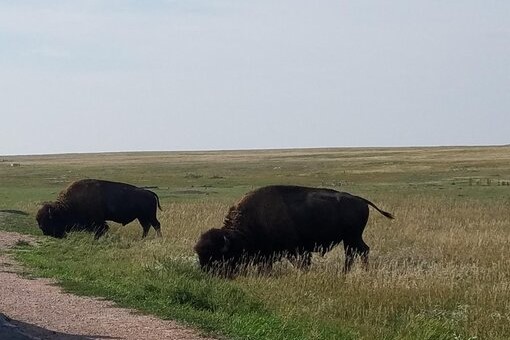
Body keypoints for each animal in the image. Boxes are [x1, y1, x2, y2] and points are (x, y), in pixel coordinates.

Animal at [195, 185, 394, 274]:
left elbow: (300, 262)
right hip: (349, 238)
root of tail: (361, 200)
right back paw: (346, 272)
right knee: (355, 252)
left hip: (352, 237)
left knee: (361, 251)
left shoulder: (294, 249)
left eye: (217, 257)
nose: (206, 273)